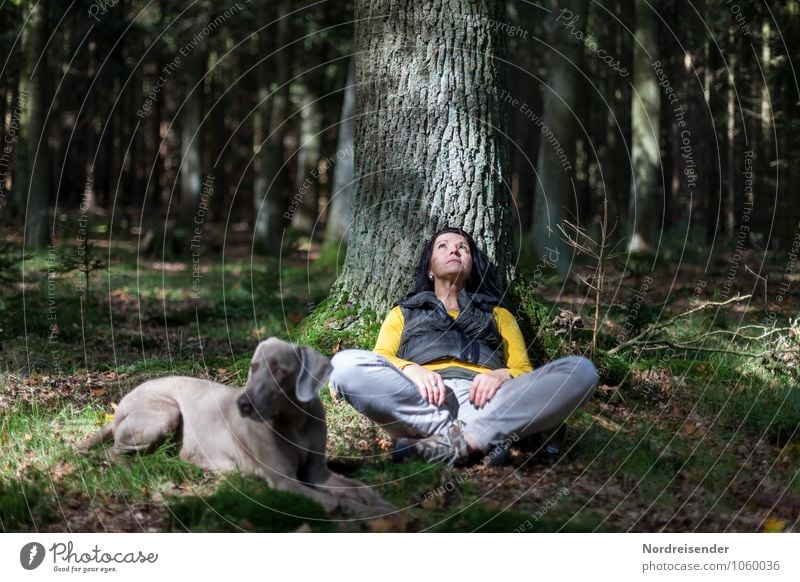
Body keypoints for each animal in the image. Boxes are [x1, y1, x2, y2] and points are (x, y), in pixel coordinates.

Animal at [78, 338, 396, 520]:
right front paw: (369, 514)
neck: (294, 421)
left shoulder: (316, 472)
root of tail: (121, 403)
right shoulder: (283, 481)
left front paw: (384, 504)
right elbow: (337, 502)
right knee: (113, 453)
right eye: (253, 367)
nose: (244, 404)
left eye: (279, 370)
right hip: (165, 413)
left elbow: (360, 488)